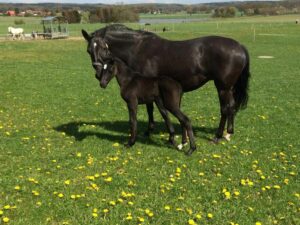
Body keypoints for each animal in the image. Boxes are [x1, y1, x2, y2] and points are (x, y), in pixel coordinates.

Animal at [81, 24, 250, 142]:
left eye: (104, 48)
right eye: (89, 50)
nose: (98, 74)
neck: (138, 48)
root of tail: (239, 46)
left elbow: (157, 110)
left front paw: (160, 133)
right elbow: (153, 109)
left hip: (222, 87)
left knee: (225, 109)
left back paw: (218, 136)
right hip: (228, 88)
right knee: (231, 107)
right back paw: (229, 133)